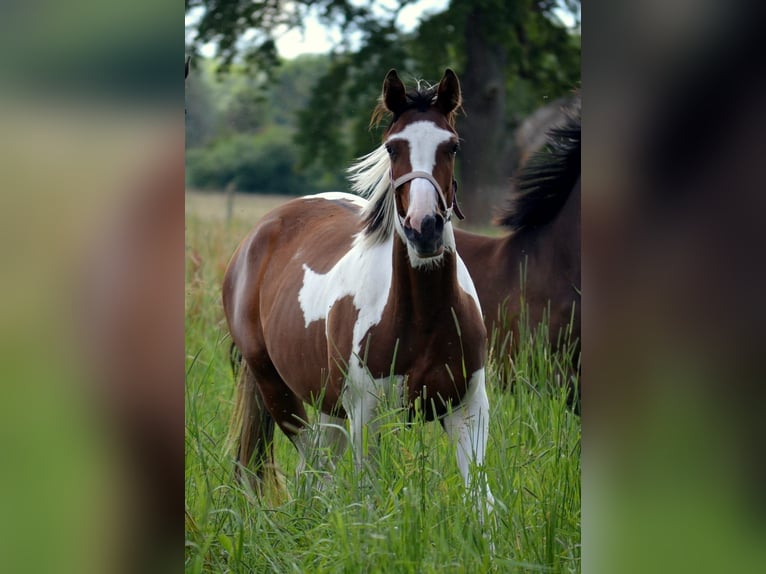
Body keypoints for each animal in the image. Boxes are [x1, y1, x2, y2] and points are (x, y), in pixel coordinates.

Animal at [225, 68, 496, 516]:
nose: (425, 229)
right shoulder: (367, 416)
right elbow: (370, 502)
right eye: (392, 147)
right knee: (316, 470)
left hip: (328, 405)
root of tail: (261, 233)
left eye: (452, 145)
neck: (422, 316)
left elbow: (482, 502)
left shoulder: (468, 409)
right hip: (278, 390)